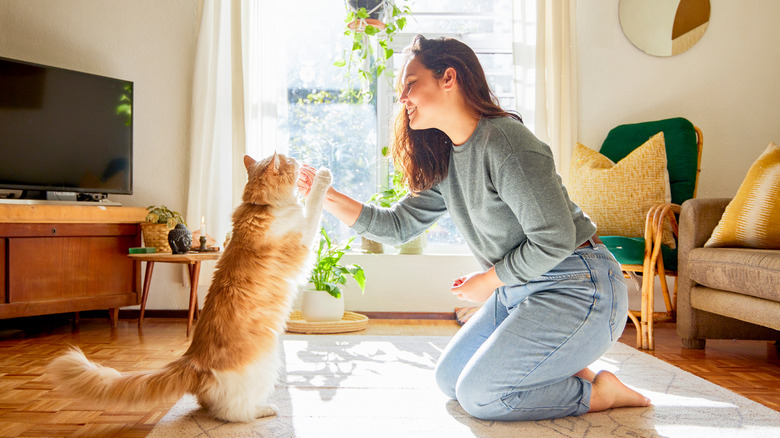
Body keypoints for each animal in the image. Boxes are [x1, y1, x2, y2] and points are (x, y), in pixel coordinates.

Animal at [45, 152, 332, 422]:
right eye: (291, 160)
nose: (300, 161)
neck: (259, 207)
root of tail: (193, 360)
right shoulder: (304, 238)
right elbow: (314, 205)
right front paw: (322, 177)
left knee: (208, 405)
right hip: (267, 365)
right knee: (231, 412)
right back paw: (264, 409)